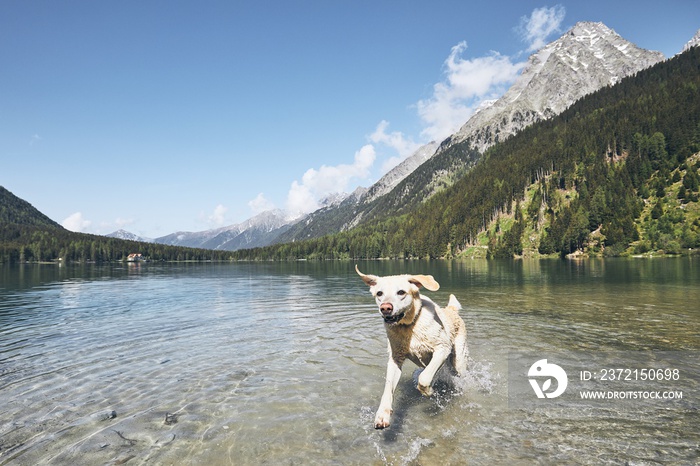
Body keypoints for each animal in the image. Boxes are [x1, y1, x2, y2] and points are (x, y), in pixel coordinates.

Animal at [358, 266, 468, 430]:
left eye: (401, 292)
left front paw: (429, 391)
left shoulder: (442, 348)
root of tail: (451, 309)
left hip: (458, 361)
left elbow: (424, 378)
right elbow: (388, 389)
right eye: (379, 293)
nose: (385, 308)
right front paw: (382, 414)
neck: (409, 326)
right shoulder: (395, 359)